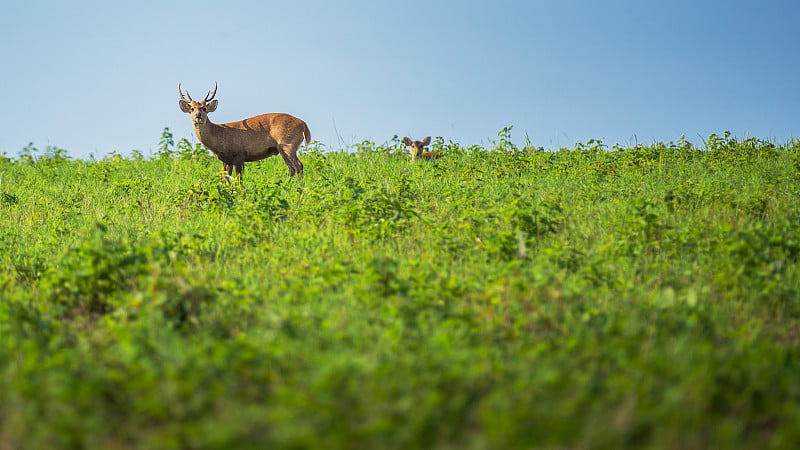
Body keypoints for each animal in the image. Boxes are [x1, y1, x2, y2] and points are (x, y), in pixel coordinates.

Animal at [178, 82, 310, 178]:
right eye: (192, 109)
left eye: (204, 108)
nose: (198, 116)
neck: (219, 135)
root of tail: (304, 124)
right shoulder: (226, 160)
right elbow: (225, 179)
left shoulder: (239, 155)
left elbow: (238, 179)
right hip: (284, 148)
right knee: (292, 169)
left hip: (287, 144)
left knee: (299, 166)